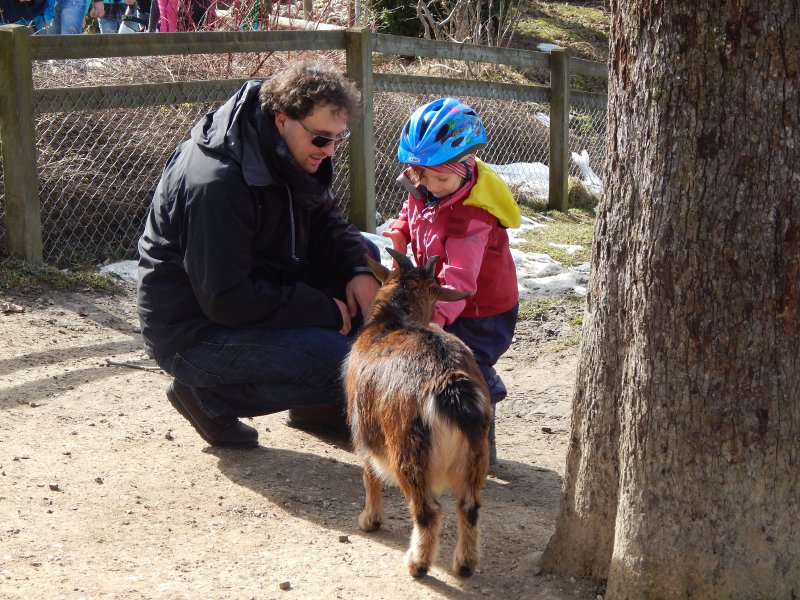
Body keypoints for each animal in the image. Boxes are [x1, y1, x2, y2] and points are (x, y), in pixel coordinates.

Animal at [344, 248, 491, 578]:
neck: (394, 321)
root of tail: (449, 386)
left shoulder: (362, 427)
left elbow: (369, 474)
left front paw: (369, 520)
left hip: (407, 450)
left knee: (427, 510)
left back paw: (417, 564)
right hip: (476, 453)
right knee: (469, 506)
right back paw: (464, 565)